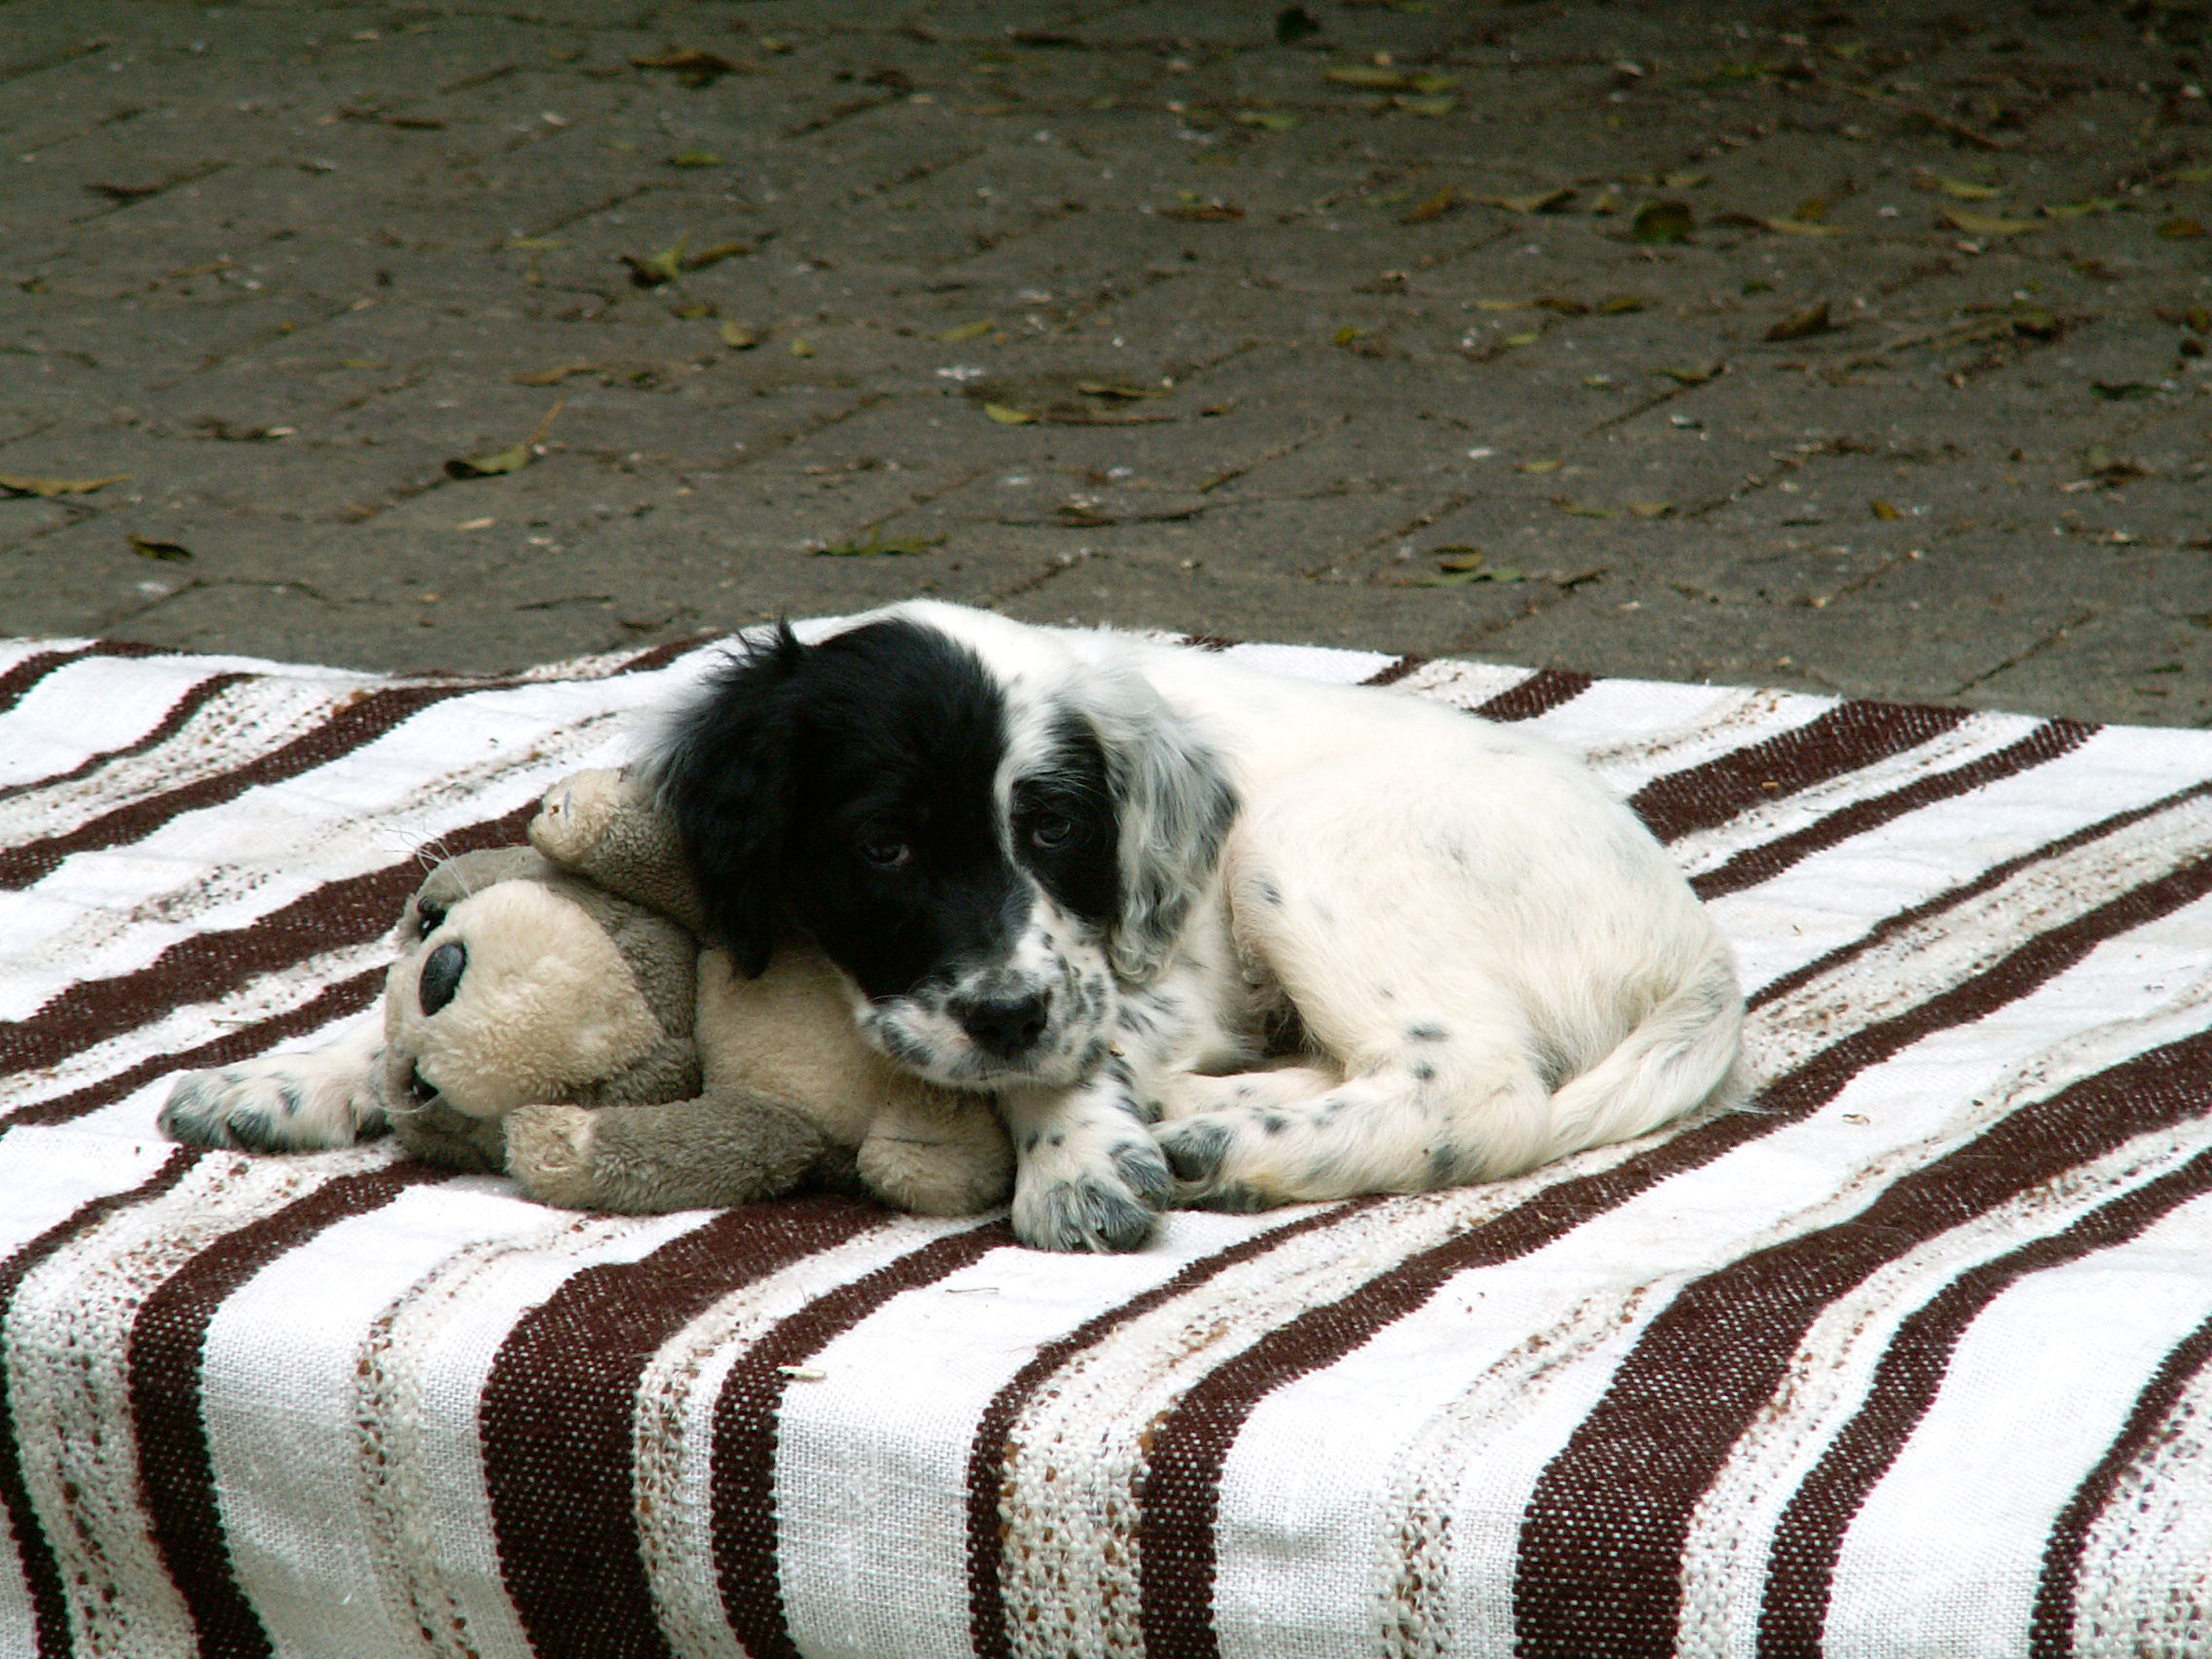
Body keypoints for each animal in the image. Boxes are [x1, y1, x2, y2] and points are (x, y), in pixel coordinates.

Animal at [654, 606, 1743, 1256]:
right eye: (883, 848)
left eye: (1056, 828)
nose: (1006, 1016)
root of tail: (1697, 957)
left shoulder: (1148, 977)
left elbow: (1070, 1041)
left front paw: (1074, 1162)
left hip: (1303, 835)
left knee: (1478, 1088)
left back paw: (1221, 1144)